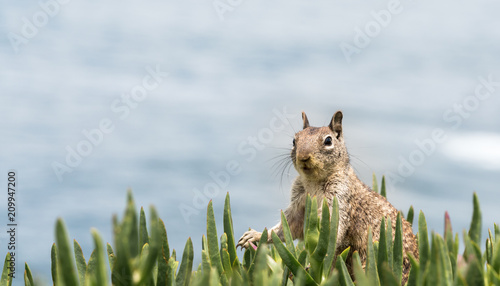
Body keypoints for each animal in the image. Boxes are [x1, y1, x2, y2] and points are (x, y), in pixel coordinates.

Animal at [237, 110, 418, 282]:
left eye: (328, 141)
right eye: (294, 141)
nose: (303, 157)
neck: (314, 183)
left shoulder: (340, 198)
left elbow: (333, 228)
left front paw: (312, 262)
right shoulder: (298, 204)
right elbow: (286, 227)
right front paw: (255, 235)